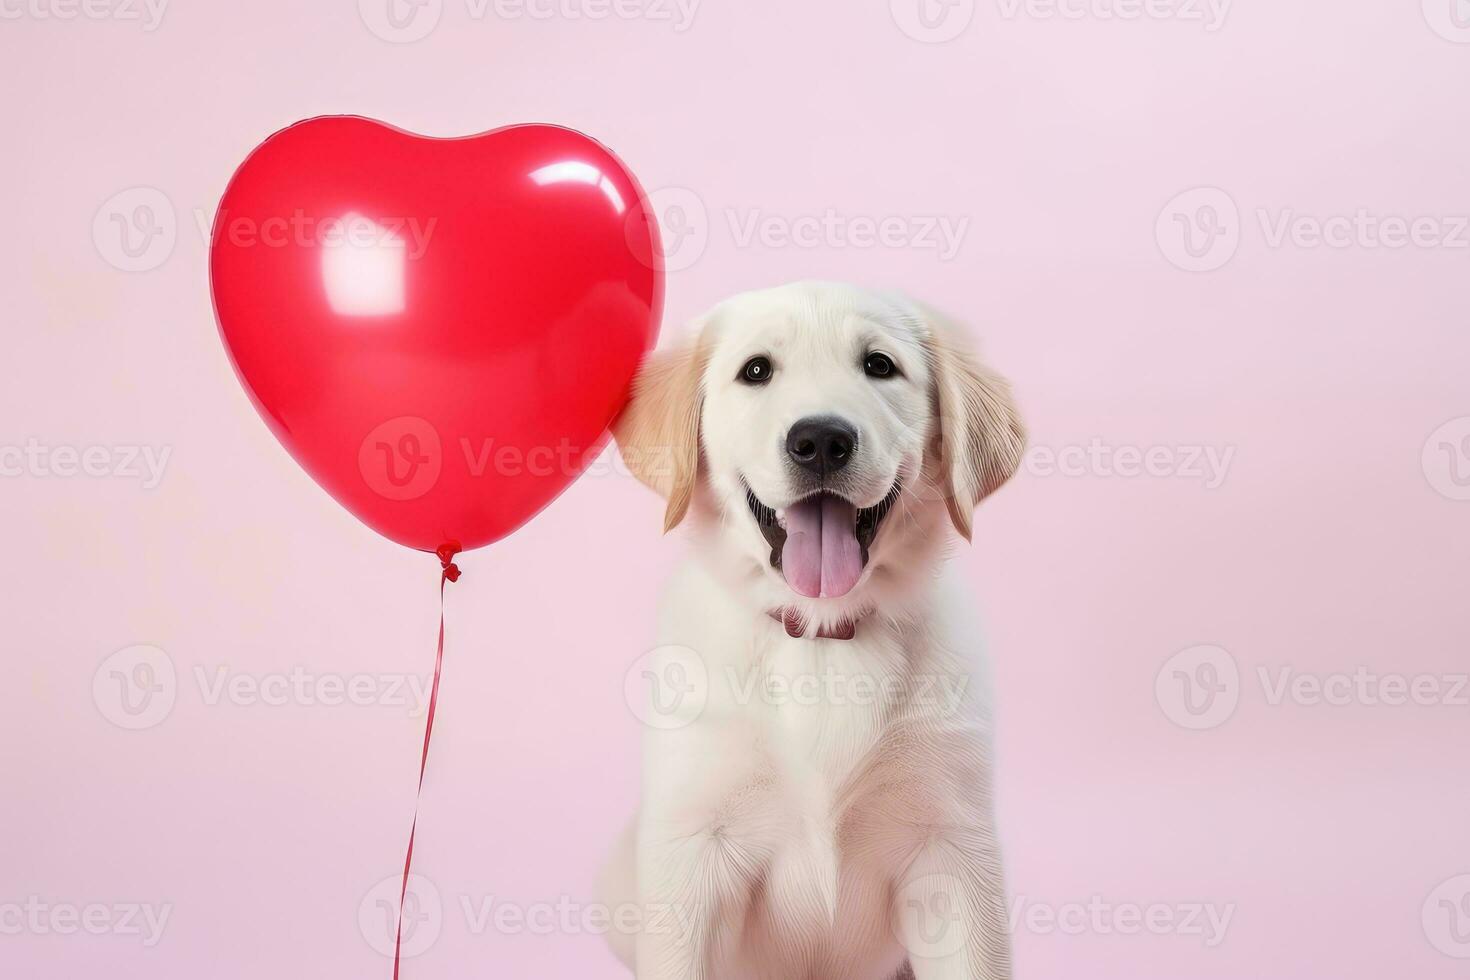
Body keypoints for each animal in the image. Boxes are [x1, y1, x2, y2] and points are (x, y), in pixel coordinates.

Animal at [596, 282, 1023, 980]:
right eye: (756, 371)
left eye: (879, 365)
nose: (821, 440)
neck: (822, 639)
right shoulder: (692, 851)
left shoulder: (951, 849)